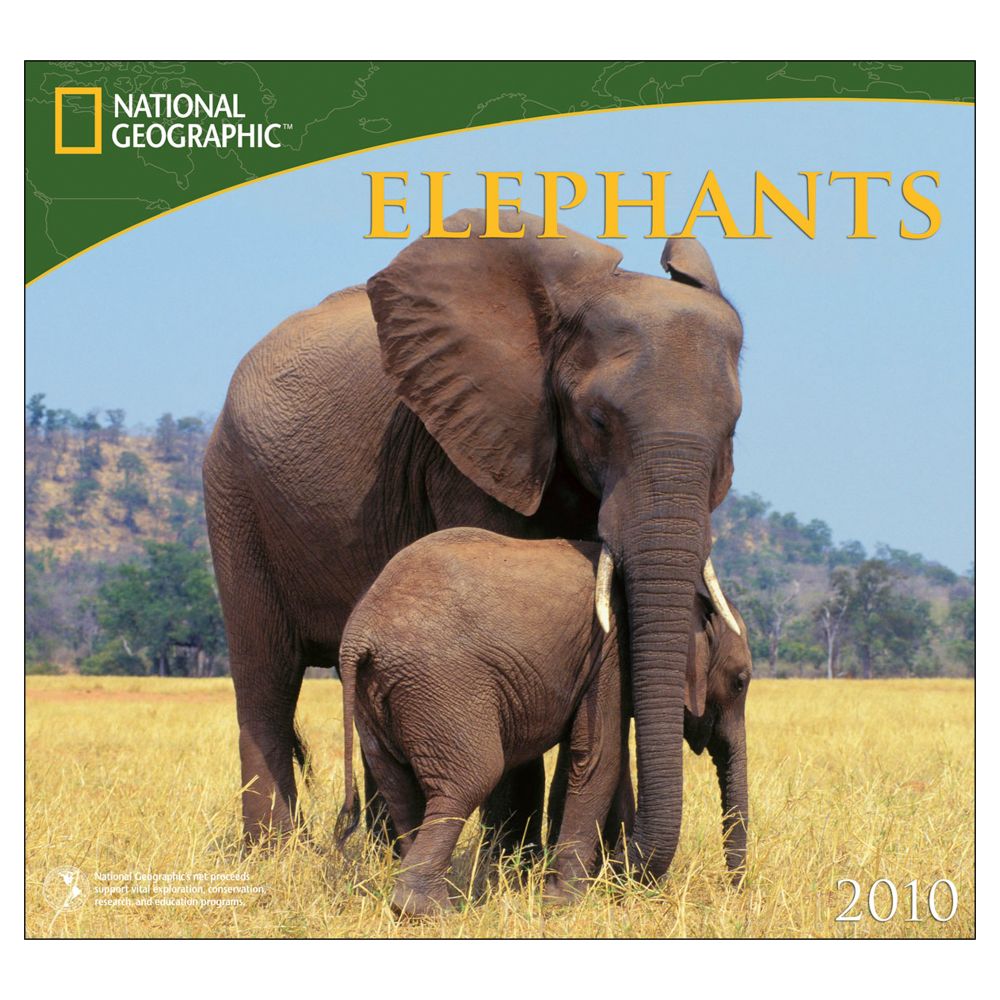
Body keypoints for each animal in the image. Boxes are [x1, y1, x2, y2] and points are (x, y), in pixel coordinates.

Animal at [203, 208, 744, 877]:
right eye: (597, 420)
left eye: (732, 431)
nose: (629, 867)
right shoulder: (466, 444)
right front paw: (512, 871)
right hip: (234, 494)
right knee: (266, 680)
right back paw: (271, 859)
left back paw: (384, 855)